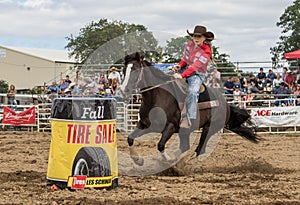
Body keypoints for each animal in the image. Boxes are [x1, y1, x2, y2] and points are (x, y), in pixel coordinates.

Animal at [120, 52, 258, 165]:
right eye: (123, 70)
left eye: (135, 70)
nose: (123, 90)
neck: (157, 97)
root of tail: (226, 104)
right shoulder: (145, 125)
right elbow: (130, 138)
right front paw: (138, 160)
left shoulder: (170, 126)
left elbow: (160, 145)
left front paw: (168, 159)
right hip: (185, 131)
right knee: (185, 146)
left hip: (209, 127)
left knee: (200, 148)